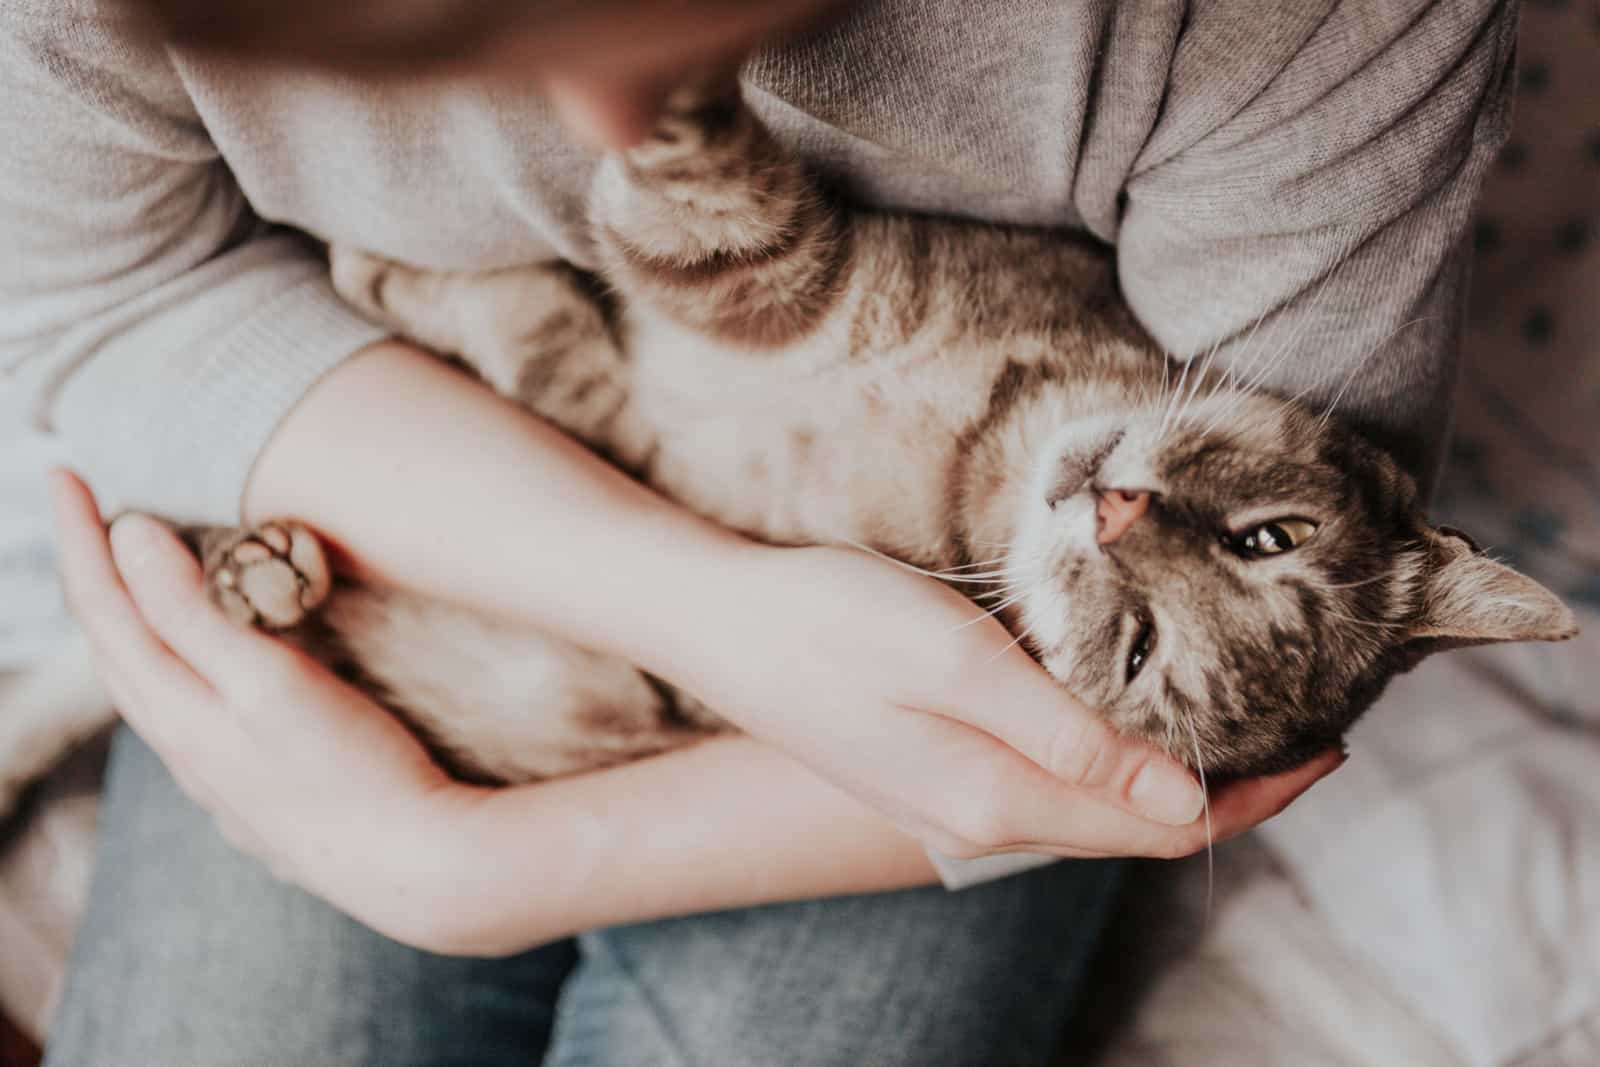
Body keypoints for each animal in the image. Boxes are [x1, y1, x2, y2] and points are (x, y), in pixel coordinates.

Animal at [0, 83, 1574, 812]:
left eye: (1141, 654)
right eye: (1269, 533)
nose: (1116, 506)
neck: (982, 436)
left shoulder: (704, 340)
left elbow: (653, 249)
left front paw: (396, 269)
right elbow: (562, 312)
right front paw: (411, 274)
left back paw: (268, 575)